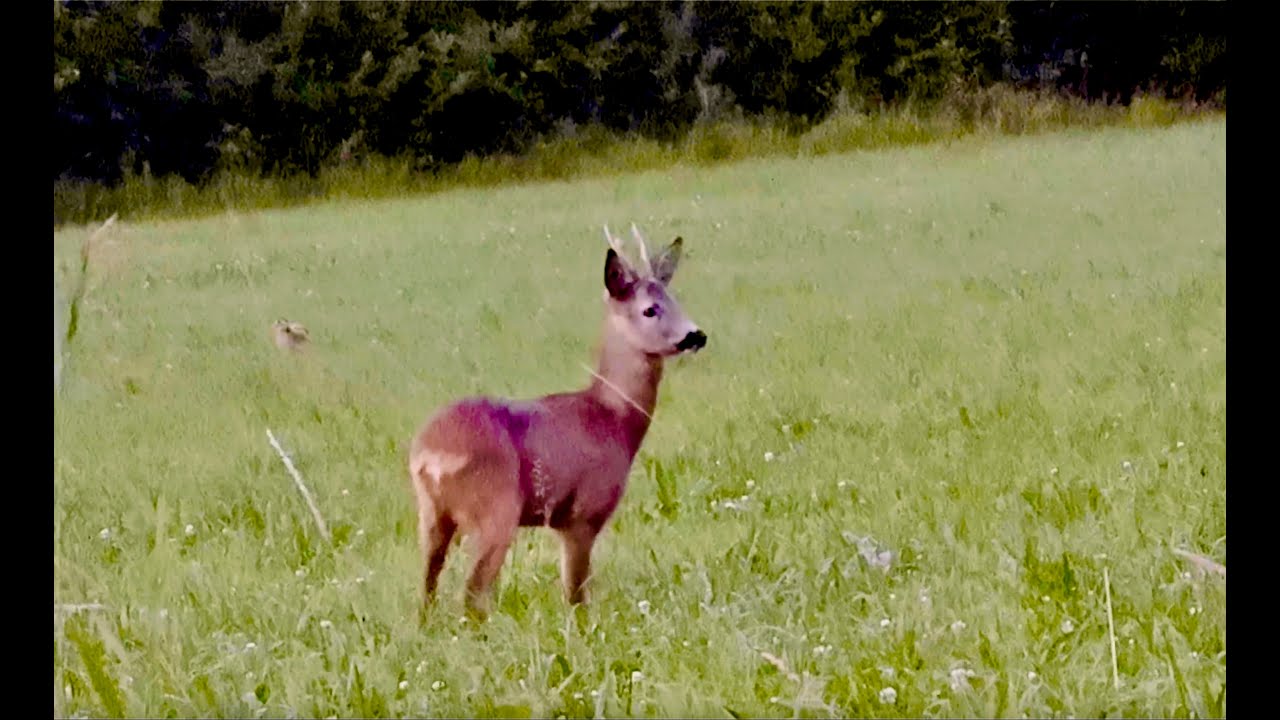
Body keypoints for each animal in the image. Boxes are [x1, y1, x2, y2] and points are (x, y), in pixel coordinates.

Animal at [407, 224, 707, 619]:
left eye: (676, 300)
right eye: (650, 309)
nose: (696, 335)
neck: (612, 418)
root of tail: (428, 456)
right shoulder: (582, 513)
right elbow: (576, 596)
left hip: (431, 514)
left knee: (426, 589)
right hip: (496, 508)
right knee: (472, 592)